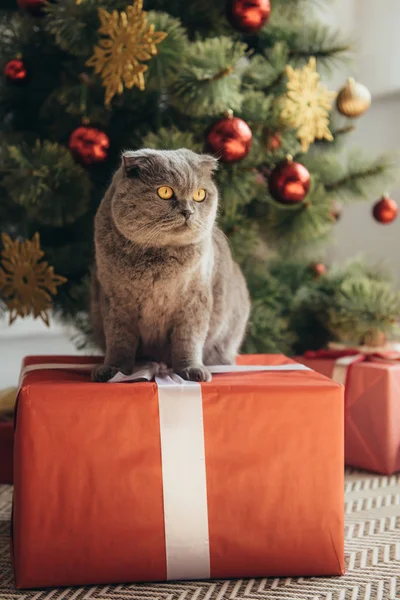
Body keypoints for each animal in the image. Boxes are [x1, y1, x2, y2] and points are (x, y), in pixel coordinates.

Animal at [92, 148, 252, 382]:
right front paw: (113, 370)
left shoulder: (195, 301)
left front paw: (192, 370)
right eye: (165, 191)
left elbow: (188, 341)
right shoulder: (115, 302)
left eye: (199, 195)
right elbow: (119, 342)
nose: (188, 211)